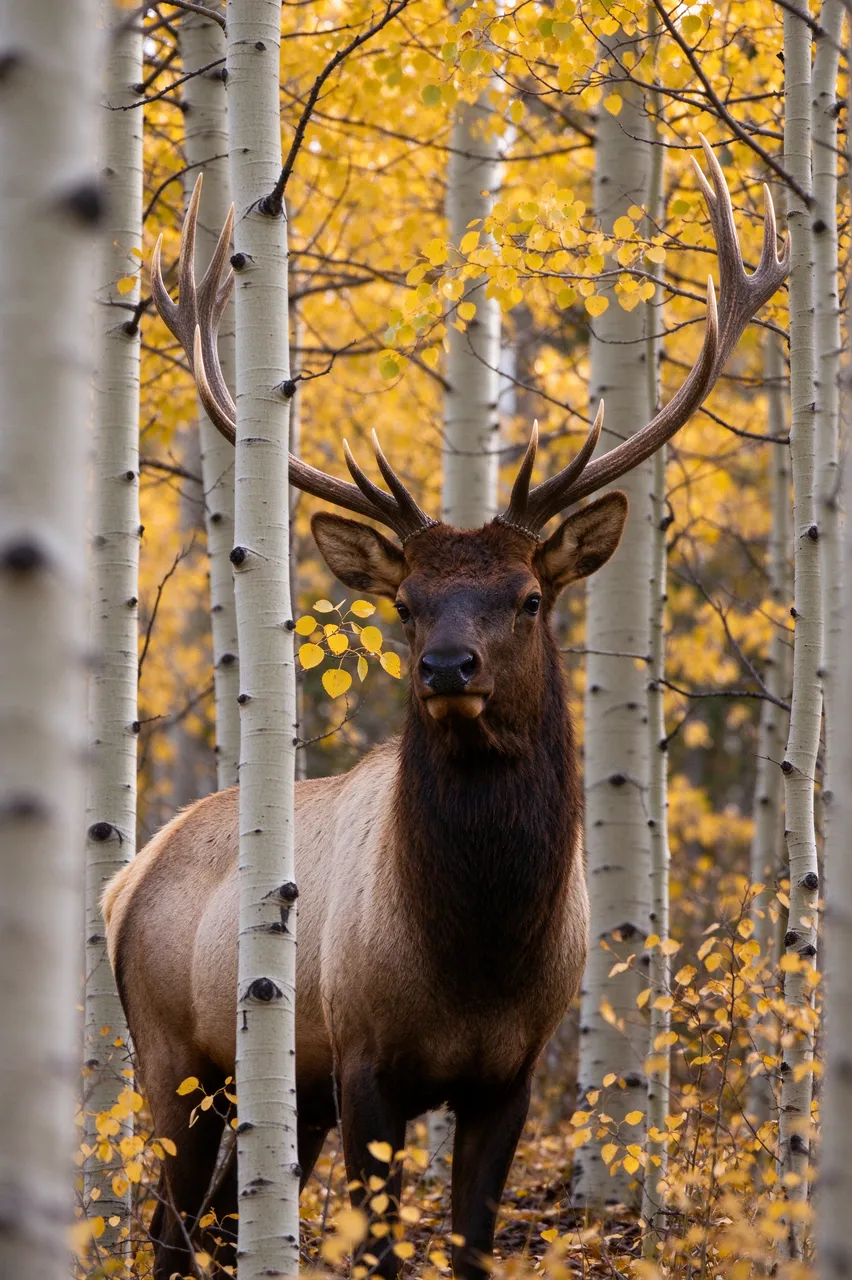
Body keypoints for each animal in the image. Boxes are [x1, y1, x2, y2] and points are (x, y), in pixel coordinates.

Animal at [103, 139, 787, 1280]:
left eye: (529, 595)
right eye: (406, 600)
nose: (447, 666)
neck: (478, 952)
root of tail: (128, 872)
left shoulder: (510, 1072)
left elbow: (469, 1245)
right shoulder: (365, 1059)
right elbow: (380, 1249)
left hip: (273, 1089)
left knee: (221, 1228)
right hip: (175, 1056)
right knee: (166, 1230)